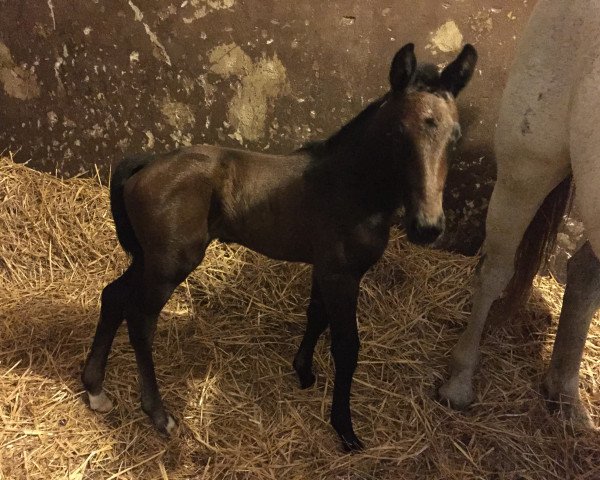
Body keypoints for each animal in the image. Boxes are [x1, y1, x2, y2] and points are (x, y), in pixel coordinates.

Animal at [82, 42, 476, 450]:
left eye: (455, 137)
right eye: (399, 133)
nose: (427, 227)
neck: (350, 186)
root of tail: (147, 163)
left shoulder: (325, 268)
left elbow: (316, 316)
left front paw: (303, 372)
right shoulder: (343, 274)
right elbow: (346, 346)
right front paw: (345, 429)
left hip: (148, 258)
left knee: (113, 296)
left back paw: (96, 391)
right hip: (170, 264)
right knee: (140, 319)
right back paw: (160, 416)